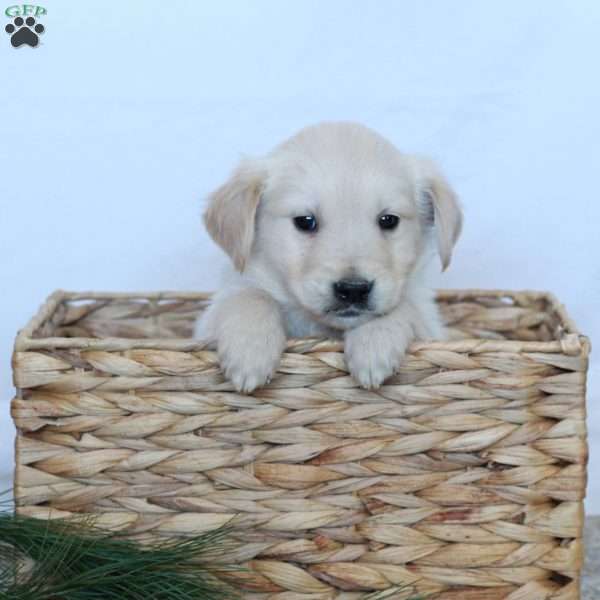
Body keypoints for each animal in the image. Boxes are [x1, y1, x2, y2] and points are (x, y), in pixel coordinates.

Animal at [195, 122, 462, 394]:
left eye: (389, 220)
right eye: (305, 221)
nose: (354, 290)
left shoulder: (429, 324)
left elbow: (404, 306)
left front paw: (373, 344)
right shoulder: (215, 314)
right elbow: (250, 296)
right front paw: (250, 352)